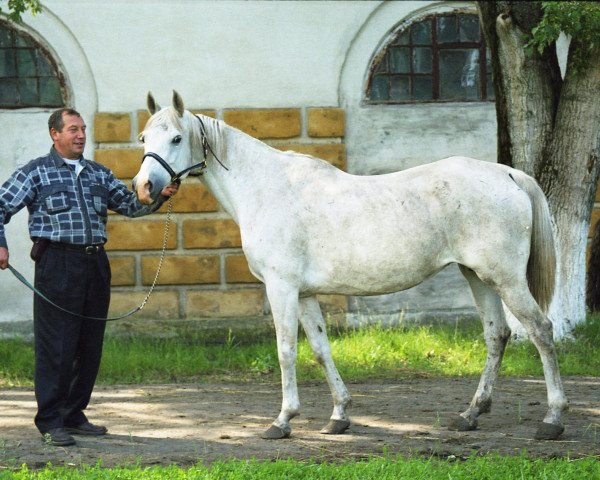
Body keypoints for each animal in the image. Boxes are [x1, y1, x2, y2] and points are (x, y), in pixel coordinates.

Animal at [135, 92, 568, 440]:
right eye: (143, 139)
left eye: (176, 138)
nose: (144, 187)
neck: (266, 187)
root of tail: (508, 174)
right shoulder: (304, 294)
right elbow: (320, 349)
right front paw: (339, 416)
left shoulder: (281, 287)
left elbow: (286, 350)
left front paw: (282, 421)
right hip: (478, 276)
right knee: (497, 335)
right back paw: (470, 415)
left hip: (506, 278)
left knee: (541, 331)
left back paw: (552, 420)